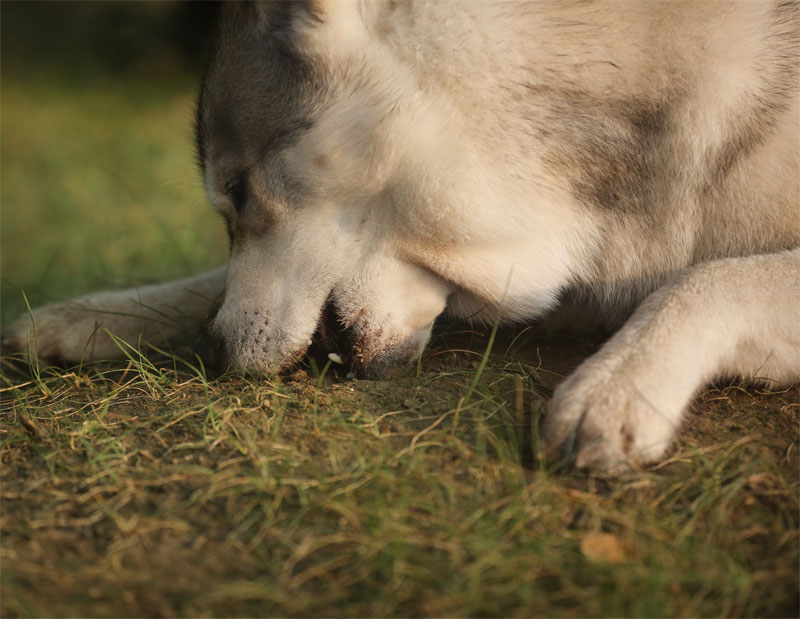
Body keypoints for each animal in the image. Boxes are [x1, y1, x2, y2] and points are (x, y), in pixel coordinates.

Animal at [3, 1, 796, 474]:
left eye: (238, 193)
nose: (213, 350)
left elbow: (705, 278)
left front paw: (618, 387)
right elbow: (204, 283)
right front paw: (94, 315)